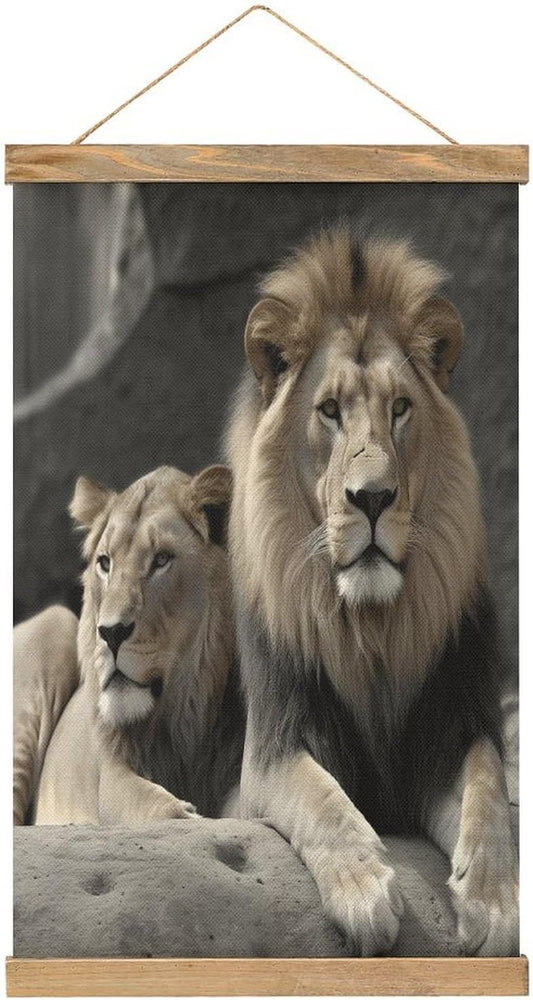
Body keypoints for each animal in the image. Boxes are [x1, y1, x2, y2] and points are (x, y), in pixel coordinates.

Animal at [15, 463, 242, 825]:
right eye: (105, 563)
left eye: (162, 559)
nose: (110, 633)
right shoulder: (111, 778)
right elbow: (154, 805)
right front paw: (188, 814)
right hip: (55, 622)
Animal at [226, 225, 518, 957]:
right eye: (330, 411)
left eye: (400, 408)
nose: (374, 498)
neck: (373, 626)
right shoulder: (268, 754)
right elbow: (322, 797)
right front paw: (364, 889)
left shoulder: (453, 726)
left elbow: (486, 791)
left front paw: (494, 904)